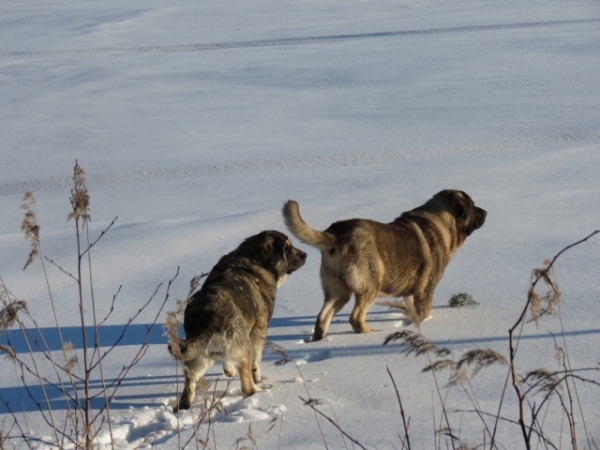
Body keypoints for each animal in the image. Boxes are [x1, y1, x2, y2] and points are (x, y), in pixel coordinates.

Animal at [171, 232, 308, 412]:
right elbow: (257, 361)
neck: (253, 258)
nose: (305, 255)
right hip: (243, 347)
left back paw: (182, 406)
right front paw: (257, 378)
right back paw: (259, 391)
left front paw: (229, 371)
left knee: (190, 380)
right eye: (287, 247)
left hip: (200, 355)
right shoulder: (259, 329)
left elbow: (228, 362)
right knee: (247, 387)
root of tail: (208, 317)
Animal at [282, 190, 488, 342]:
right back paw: (369, 333)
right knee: (355, 317)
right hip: (370, 285)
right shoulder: (426, 290)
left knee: (322, 317)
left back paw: (320, 339)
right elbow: (424, 312)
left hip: (337, 291)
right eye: (472, 205)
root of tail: (335, 233)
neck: (443, 224)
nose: (485, 212)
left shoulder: (411, 293)